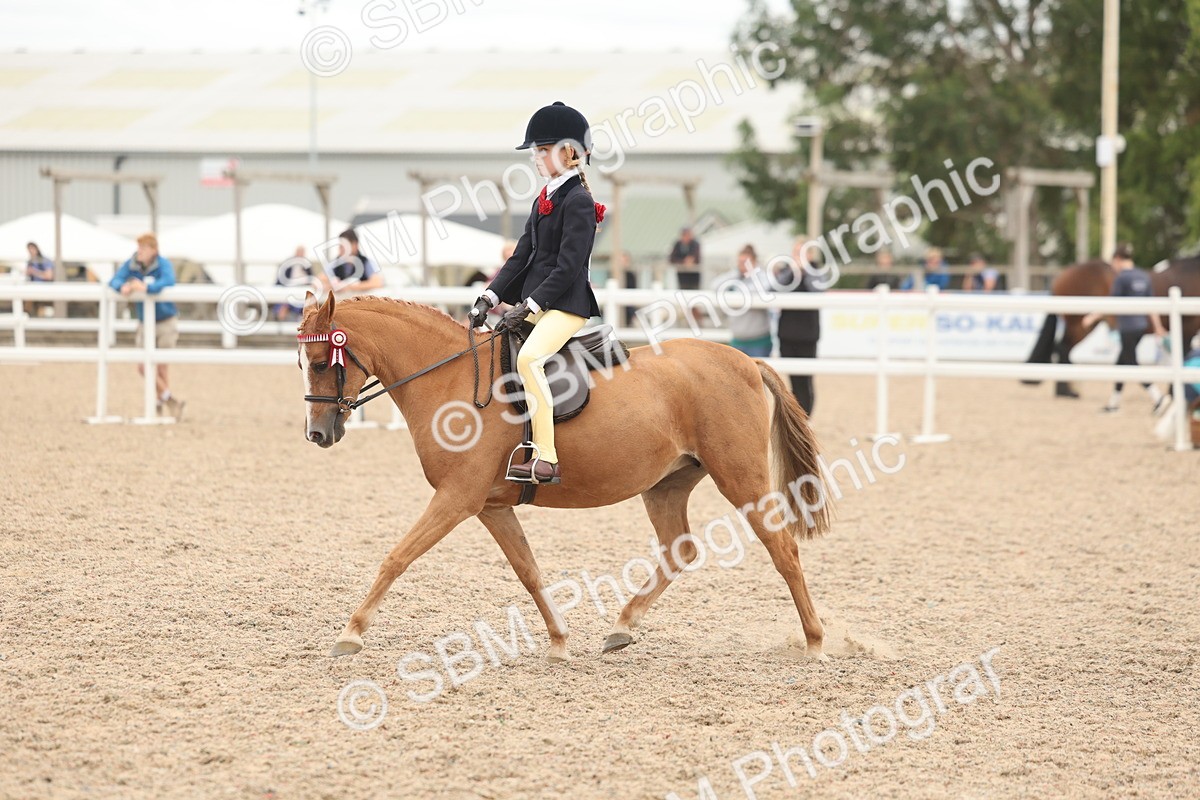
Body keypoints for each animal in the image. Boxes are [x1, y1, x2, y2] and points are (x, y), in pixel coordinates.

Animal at [297, 291, 833, 661]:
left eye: (323, 362)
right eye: (304, 362)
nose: (318, 434)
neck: (450, 379)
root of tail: (745, 361)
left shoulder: (457, 498)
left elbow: (397, 557)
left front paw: (351, 633)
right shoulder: (490, 506)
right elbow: (529, 572)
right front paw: (559, 640)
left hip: (740, 478)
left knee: (782, 549)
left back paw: (814, 641)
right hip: (666, 484)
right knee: (678, 549)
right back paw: (621, 627)